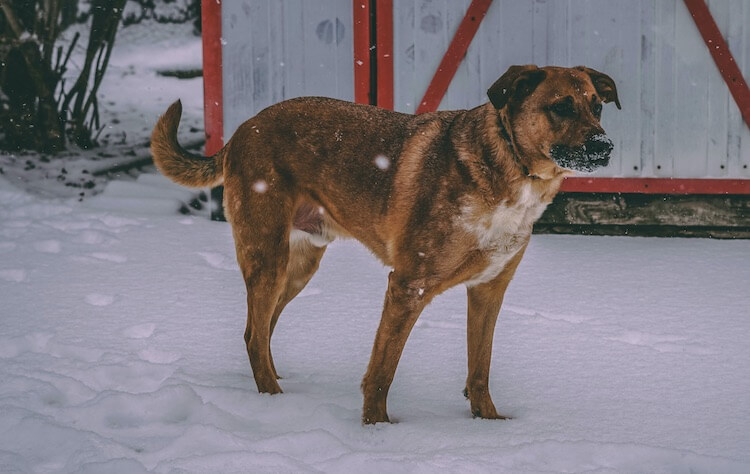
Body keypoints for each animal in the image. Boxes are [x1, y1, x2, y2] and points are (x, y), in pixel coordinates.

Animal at [150, 65, 620, 424]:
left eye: (597, 106)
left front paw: (488, 425)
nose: (605, 146)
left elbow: (480, 368)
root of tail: (241, 129)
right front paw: (377, 430)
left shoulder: (489, 289)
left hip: (298, 266)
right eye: (560, 106)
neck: (513, 172)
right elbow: (382, 371)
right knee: (253, 334)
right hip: (268, 256)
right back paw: (275, 404)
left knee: (260, 330)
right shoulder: (407, 287)